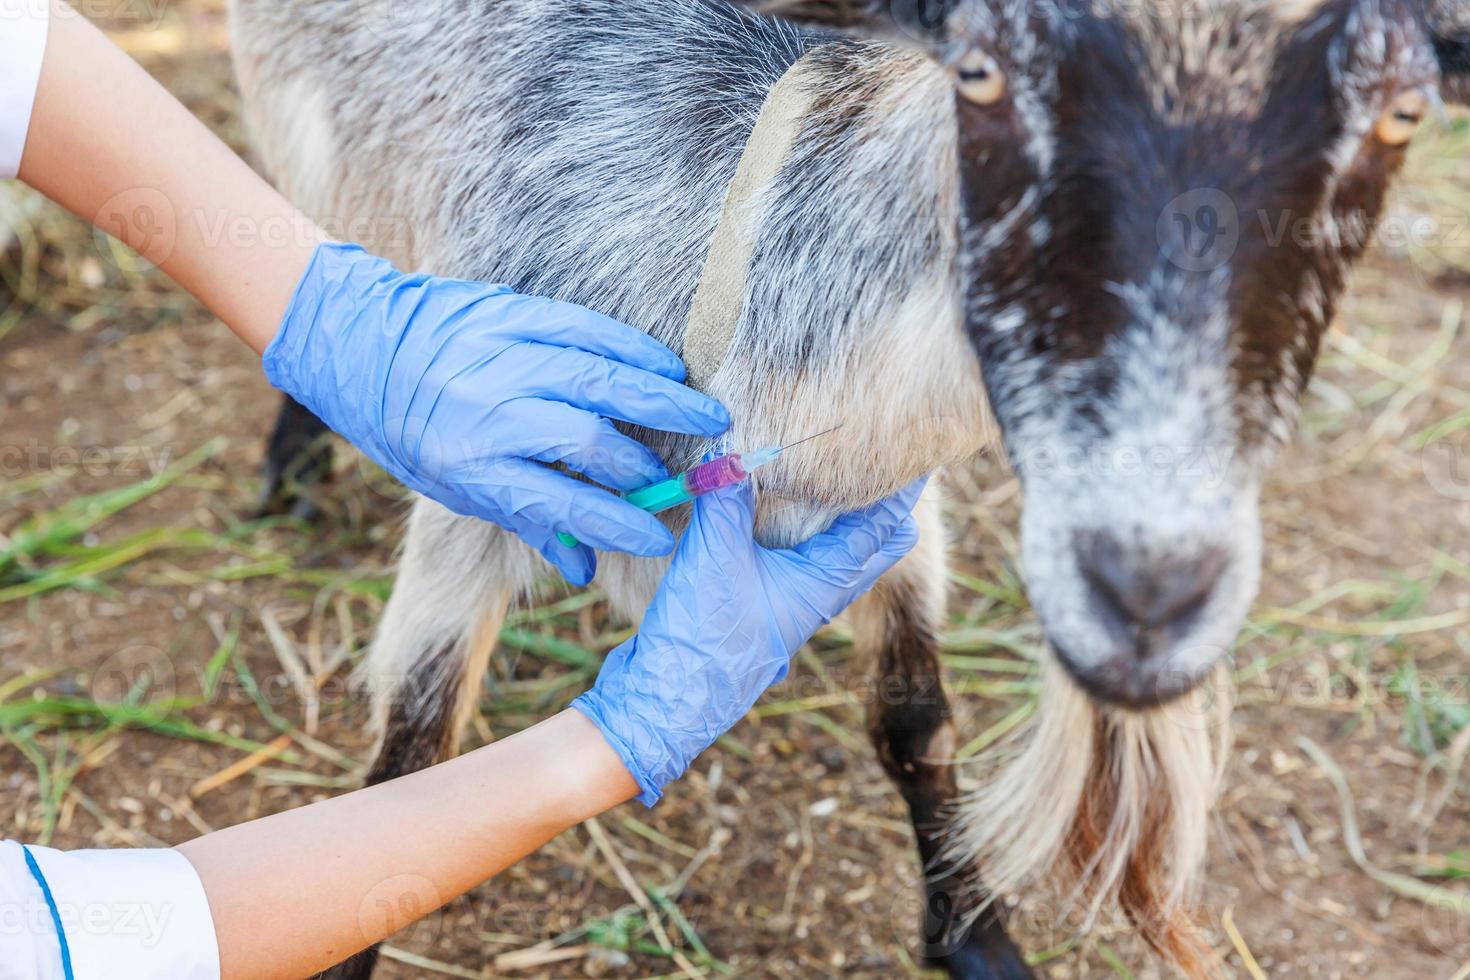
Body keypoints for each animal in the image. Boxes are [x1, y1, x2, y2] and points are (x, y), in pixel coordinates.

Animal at [229, 3, 1470, 975]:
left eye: (1401, 117)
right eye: (985, 76)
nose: (1149, 587)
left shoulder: (889, 513)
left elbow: (915, 717)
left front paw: (977, 936)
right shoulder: (486, 490)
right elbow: (410, 756)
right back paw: (301, 441)